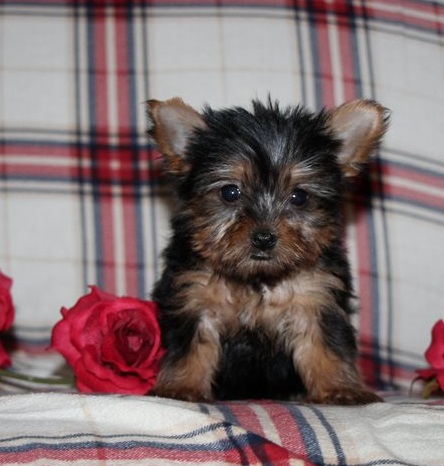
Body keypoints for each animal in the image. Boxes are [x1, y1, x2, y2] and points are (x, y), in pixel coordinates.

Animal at [147, 95, 388, 404]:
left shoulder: (317, 297)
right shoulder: (194, 296)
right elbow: (191, 346)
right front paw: (182, 386)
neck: (257, 277)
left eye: (299, 197)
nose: (263, 238)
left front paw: (340, 387)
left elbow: (327, 344)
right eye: (230, 192)